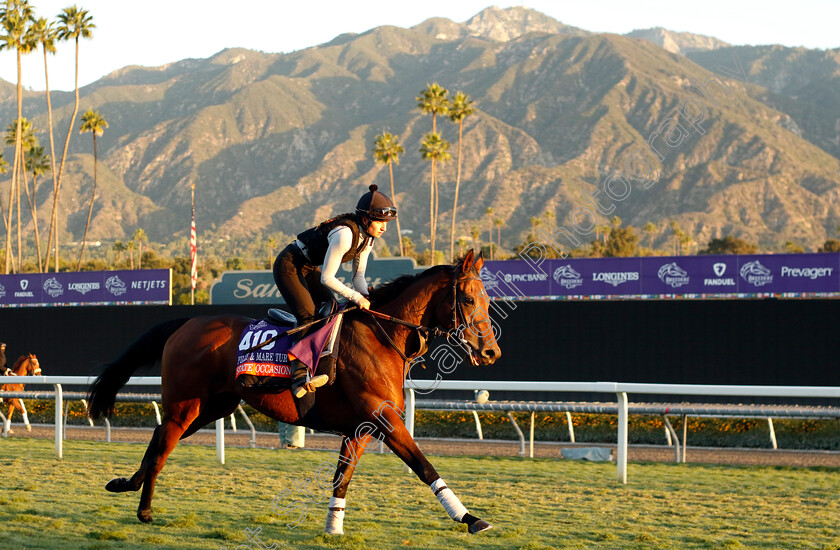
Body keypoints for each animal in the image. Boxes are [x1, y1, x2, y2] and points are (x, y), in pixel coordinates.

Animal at [88, 252, 502, 536]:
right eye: (468, 299)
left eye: (487, 299)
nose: (490, 351)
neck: (382, 338)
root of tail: (187, 322)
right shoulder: (384, 419)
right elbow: (424, 465)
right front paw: (470, 518)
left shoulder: (361, 428)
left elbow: (342, 477)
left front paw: (333, 527)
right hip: (185, 405)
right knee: (162, 444)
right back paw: (144, 509)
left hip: (211, 407)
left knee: (161, 437)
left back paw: (126, 485)